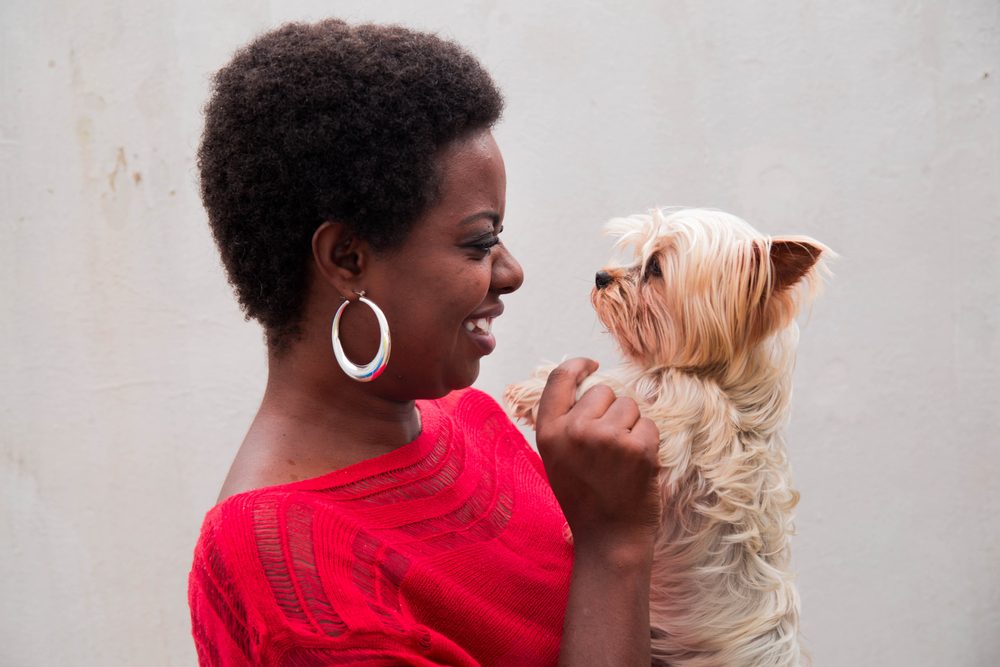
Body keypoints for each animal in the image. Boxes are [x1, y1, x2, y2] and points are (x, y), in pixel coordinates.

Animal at [504, 209, 832, 667]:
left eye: (656, 268)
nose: (601, 276)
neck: (722, 383)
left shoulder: (680, 413)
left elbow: (626, 391)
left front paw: (539, 390)